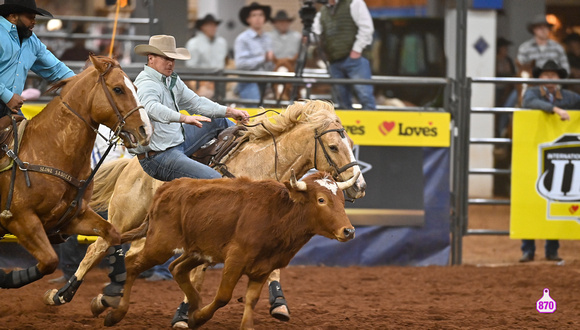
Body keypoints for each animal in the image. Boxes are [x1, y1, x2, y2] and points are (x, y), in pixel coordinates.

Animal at [0, 56, 152, 300]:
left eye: (135, 88)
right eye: (118, 89)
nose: (145, 130)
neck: (48, 151)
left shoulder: (73, 218)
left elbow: (112, 234)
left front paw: (110, 286)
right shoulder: (19, 219)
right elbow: (50, 261)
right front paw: (9, 279)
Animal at [45, 100, 364, 322]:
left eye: (351, 142)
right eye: (333, 146)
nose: (359, 186)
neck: (259, 167)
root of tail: (131, 164)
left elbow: (270, 270)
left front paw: (279, 304)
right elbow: (196, 275)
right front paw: (184, 314)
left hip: (151, 230)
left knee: (131, 255)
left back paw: (107, 299)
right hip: (124, 218)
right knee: (96, 249)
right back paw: (61, 296)